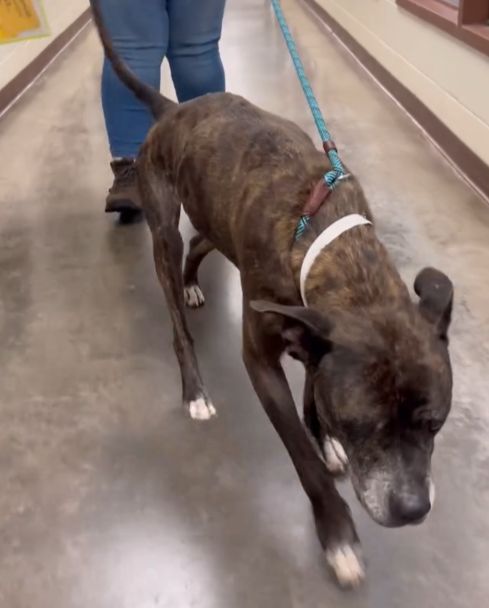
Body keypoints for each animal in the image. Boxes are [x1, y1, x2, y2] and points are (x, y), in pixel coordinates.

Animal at [90, 1, 454, 588]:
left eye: (435, 423)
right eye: (364, 426)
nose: (412, 509)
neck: (334, 251)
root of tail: (173, 108)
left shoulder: (313, 334)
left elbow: (314, 389)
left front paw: (324, 436)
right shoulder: (261, 360)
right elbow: (302, 459)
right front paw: (336, 533)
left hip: (212, 218)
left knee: (199, 245)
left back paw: (193, 284)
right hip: (163, 227)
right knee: (177, 304)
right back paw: (194, 385)